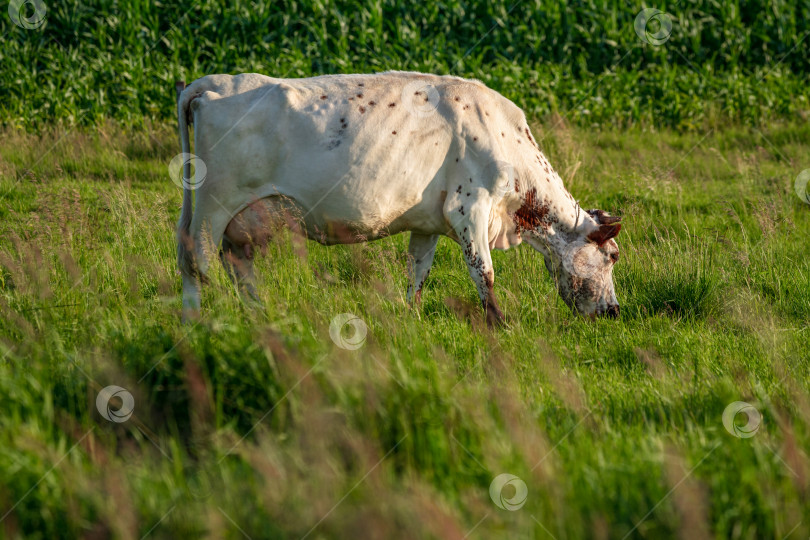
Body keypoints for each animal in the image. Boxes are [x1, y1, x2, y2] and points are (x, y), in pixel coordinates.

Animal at [174, 71, 620, 324]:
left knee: (235, 264)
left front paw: (412, 318)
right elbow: (484, 272)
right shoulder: (469, 207)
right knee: (198, 262)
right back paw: (203, 322)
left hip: (244, 215)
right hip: (213, 205)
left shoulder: (429, 221)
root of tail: (211, 82)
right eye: (613, 256)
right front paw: (500, 323)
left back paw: (252, 315)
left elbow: (418, 272)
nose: (614, 311)